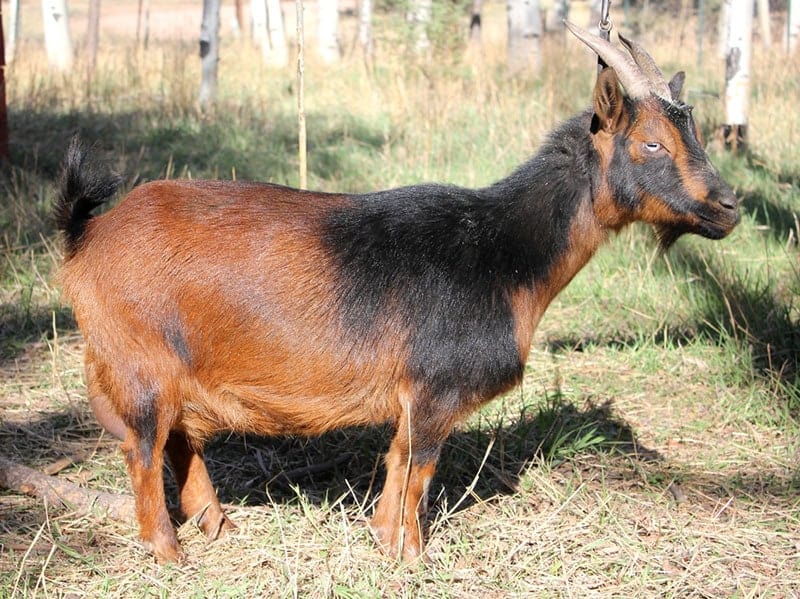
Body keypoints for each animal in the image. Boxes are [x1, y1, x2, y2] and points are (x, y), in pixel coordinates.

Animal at [55, 23, 739, 563]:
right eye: (651, 142)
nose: (730, 206)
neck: (502, 251)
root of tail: (86, 236)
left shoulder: (417, 396)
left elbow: (398, 463)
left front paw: (386, 540)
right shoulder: (434, 389)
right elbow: (418, 469)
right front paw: (408, 555)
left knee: (180, 444)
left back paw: (219, 529)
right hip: (140, 365)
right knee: (144, 452)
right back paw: (169, 552)